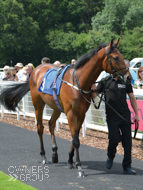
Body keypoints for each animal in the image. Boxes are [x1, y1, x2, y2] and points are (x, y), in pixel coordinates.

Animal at [0, 38, 132, 177]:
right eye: (116, 58)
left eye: (122, 56)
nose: (128, 77)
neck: (78, 82)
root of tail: (36, 70)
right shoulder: (70, 113)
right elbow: (76, 140)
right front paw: (79, 167)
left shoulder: (81, 114)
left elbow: (76, 136)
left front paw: (70, 160)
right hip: (38, 104)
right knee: (40, 128)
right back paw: (44, 157)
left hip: (56, 107)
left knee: (51, 124)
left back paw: (54, 154)